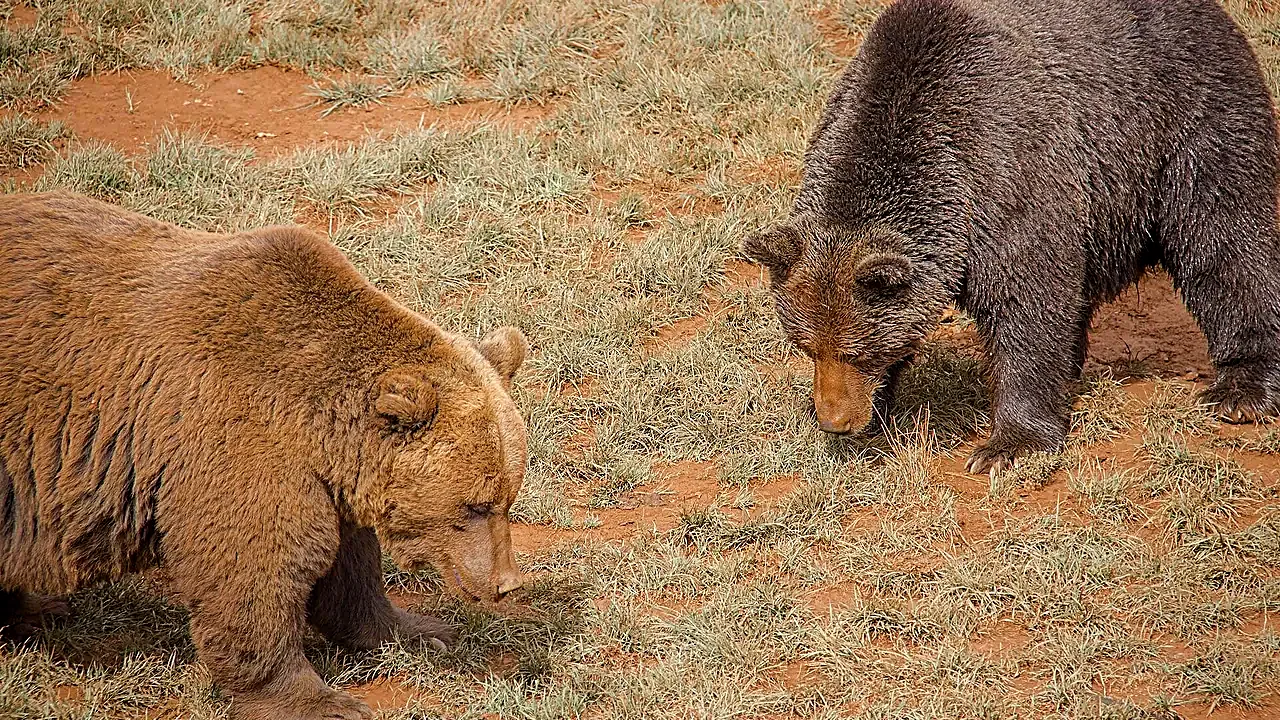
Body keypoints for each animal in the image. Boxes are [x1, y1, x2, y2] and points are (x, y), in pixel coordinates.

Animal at [0, 191, 531, 720]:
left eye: (508, 498)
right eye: (474, 506)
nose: (506, 583)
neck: (321, 425)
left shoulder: (325, 477)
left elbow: (350, 567)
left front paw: (422, 631)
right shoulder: (235, 435)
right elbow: (257, 568)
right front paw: (322, 701)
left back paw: (39, 610)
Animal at [743, 0, 1280, 475]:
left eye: (857, 351)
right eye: (807, 347)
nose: (834, 420)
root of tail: (1213, 13)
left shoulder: (1010, 174)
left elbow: (1029, 305)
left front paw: (1008, 446)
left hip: (1190, 122)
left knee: (1226, 239)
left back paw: (1242, 390)